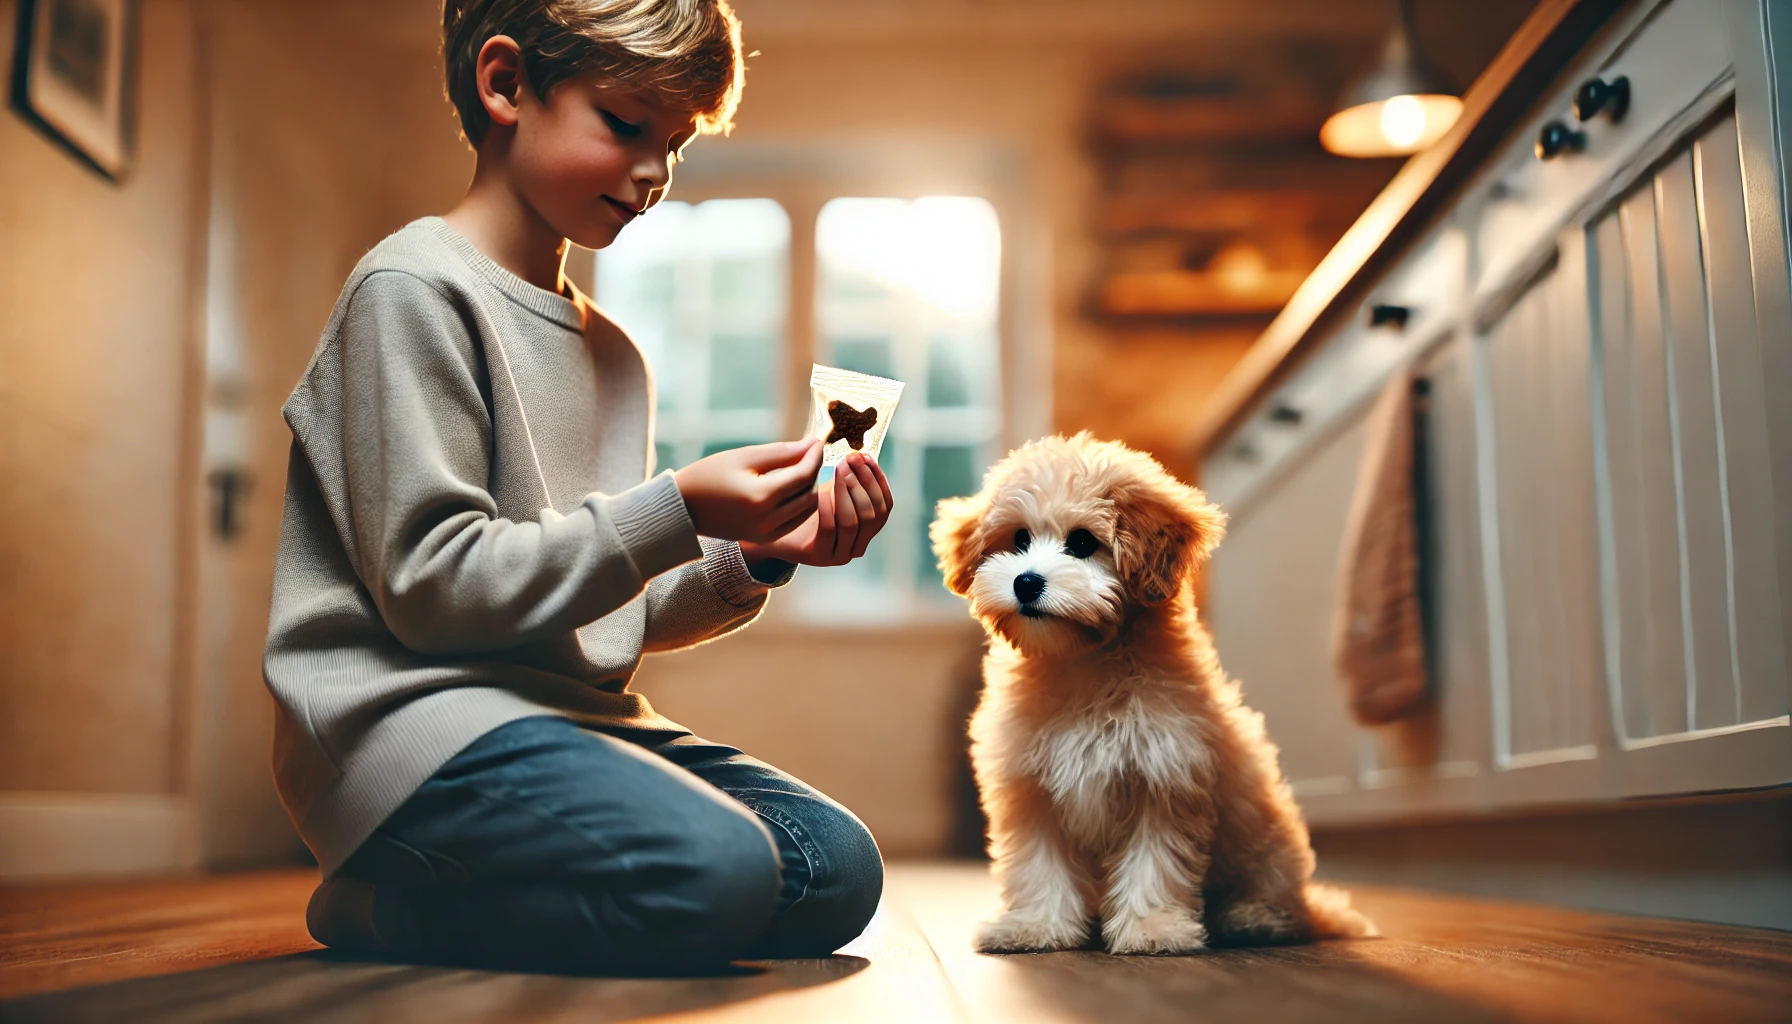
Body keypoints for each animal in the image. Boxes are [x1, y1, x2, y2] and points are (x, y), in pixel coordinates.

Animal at [939, 437, 1369, 961]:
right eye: (1018, 539)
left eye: (1082, 543)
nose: (1026, 581)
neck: (1086, 662)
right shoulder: (1032, 790)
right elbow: (1040, 865)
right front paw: (1035, 927)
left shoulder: (1165, 777)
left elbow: (1154, 864)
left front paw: (1152, 930)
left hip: (1268, 838)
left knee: (1283, 899)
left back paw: (1254, 917)